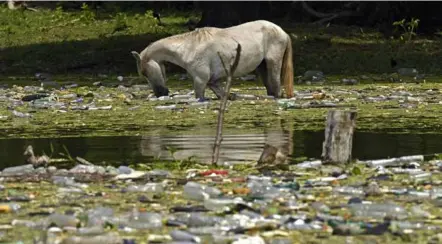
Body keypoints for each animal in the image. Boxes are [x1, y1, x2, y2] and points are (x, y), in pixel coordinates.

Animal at [131, 19, 294, 99]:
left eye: (145, 72)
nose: (161, 94)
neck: (188, 47)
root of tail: (283, 32)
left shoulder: (200, 80)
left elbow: (199, 96)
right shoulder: (211, 81)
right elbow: (224, 94)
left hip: (273, 64)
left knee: (276, 86)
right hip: (262, 67)